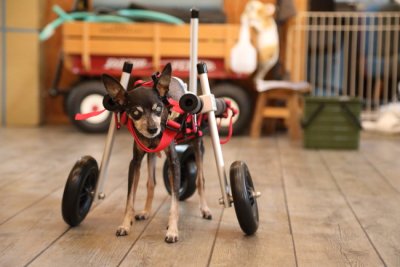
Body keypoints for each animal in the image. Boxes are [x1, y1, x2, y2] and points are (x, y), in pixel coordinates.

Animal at [101, 63, 211, 244]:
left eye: (159, 109)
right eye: (135, 112)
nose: (153, 129)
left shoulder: (174, 162)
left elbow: (174, 203)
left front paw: (172, 230)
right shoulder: (135, 162)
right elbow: (130, 199)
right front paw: (125, 225)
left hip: (197, 144)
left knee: (200, 180)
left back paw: (205, 209)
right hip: (151, 156)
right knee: (151, 183)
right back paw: (146, 211)